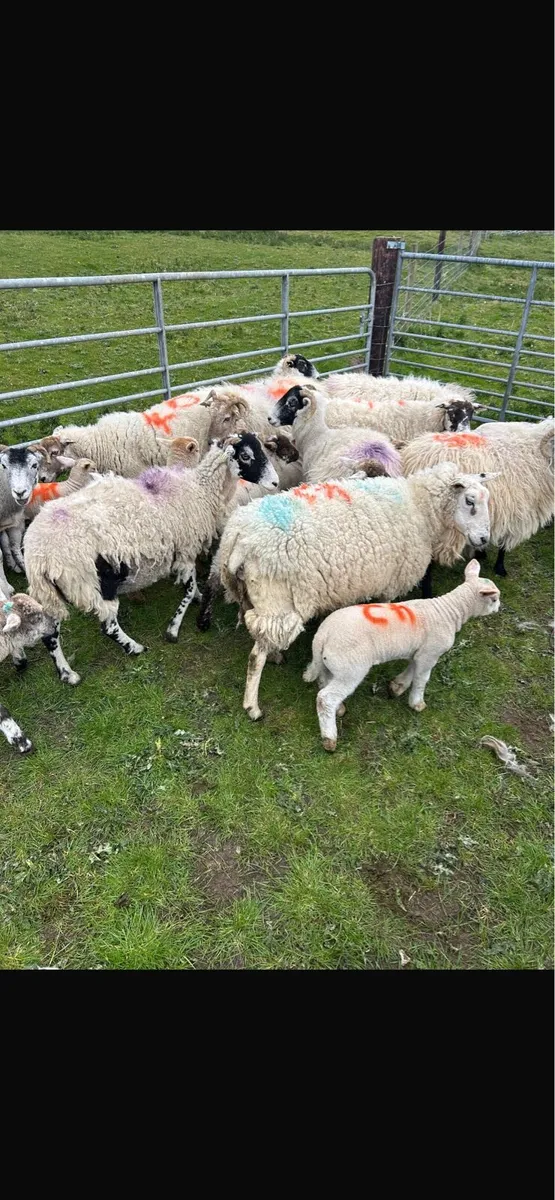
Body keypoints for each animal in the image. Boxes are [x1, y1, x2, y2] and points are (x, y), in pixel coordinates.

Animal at [24, 433, 278, 684]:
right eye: (245, 456)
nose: (276, 483)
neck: (200, 489)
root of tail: (38, 556)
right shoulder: (185, 548)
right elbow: (188, 588)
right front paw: (174, 628)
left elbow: (191, 586)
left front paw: (196, 598)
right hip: (93, 583)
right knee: (108, 626)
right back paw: (134, 648)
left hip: (52, 592)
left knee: (50, 634)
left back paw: (67, 674)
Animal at [218, 463, 492, 720]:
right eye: (469, 501)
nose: (483, 539)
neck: (420, 508)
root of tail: (238, 535)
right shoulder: (390, 581)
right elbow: (385, 604)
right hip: (276, 599)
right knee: (256, 657)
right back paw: (252, 707)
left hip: (249, 593)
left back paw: (274, 656)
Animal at [303, 559, 501, 752]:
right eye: (494, 599)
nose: (499, 608)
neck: (449, 612)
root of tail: (323, 635)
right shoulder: (430, 653)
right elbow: (422, 679)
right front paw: (417, 703)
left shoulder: (420, 652)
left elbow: (412, 669)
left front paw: (397, 687)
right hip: (351, 668)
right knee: (325, 698)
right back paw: (329, 739)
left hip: (330, 664)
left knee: (323, 682)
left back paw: (338, 709)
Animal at [400, 419, 554, 576]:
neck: (535, 455)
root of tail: (413, 456)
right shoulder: (515, 509)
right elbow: (503, 543)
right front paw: (499, 567)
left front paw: (481, 553)